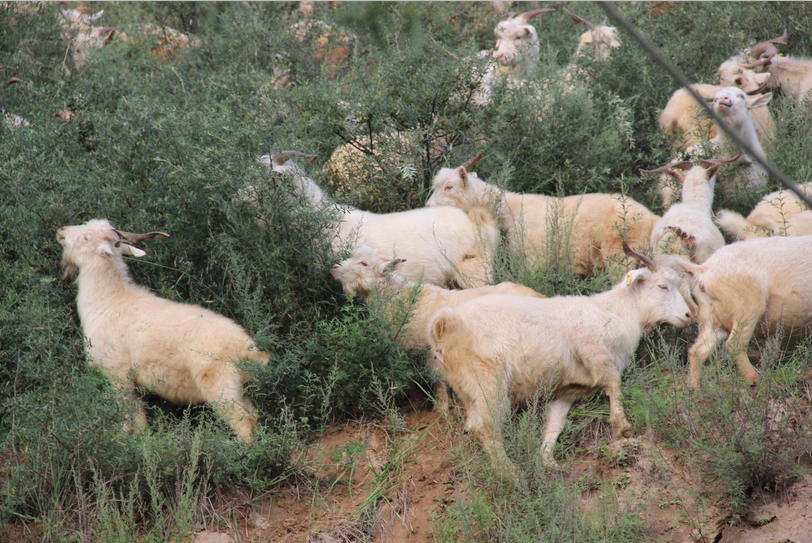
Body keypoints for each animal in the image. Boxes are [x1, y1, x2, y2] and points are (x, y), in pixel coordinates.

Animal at [426, 155, 660, 278]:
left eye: (449, 187)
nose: (427, 207)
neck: (507, 210)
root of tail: (651, 218)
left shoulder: (532, 262)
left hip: (621, 258)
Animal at [426, 244, 692, 470]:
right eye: (662, 286)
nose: (688, 316)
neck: (615, 312)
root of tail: (447, 323)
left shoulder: (566, 391)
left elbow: (555, 424)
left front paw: (548, 461)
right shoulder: (597, 354)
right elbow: (614, 385)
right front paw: (622, 427)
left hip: (466, 388)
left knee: (473, 425)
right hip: (489, 382)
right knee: (487, 428)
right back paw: (511, 475)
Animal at [660, 234, 812, 392]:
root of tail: (703, 269)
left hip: (711, 318)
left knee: (697, 351)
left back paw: (695, 390)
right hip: (748, 306)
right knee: (734, 344)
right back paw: (754, 379)